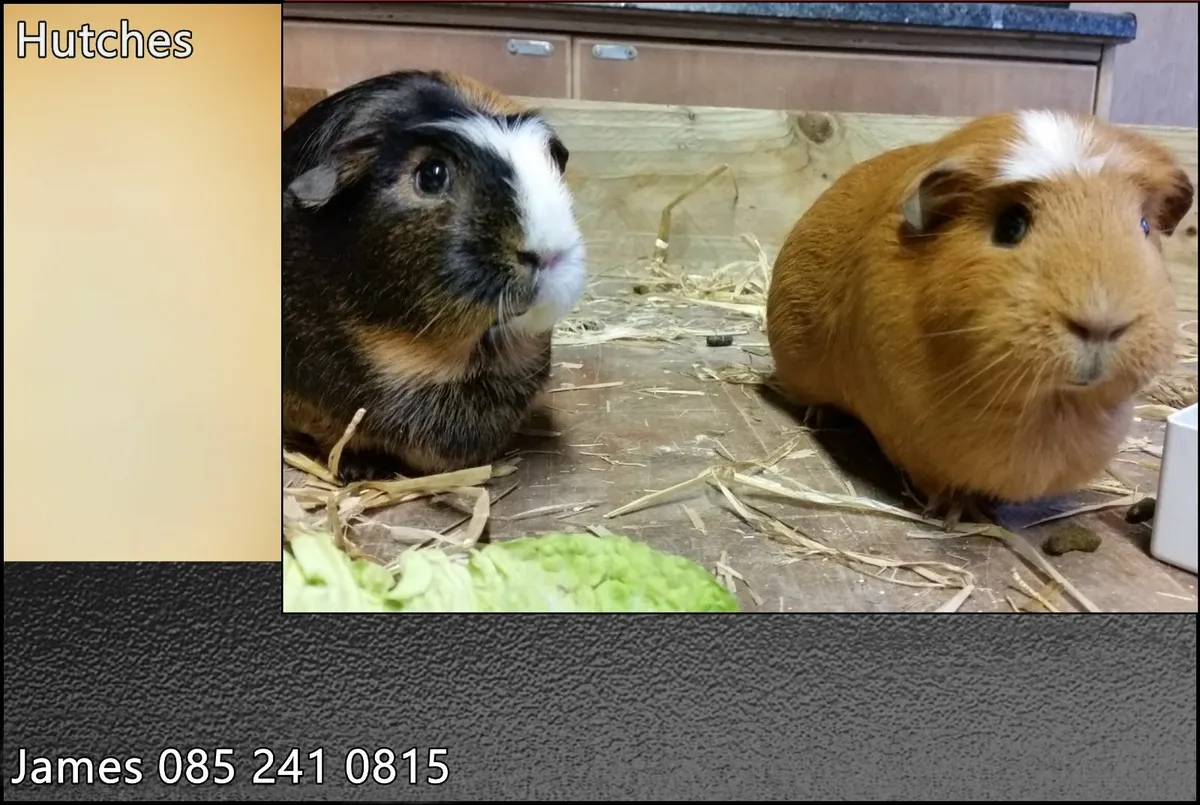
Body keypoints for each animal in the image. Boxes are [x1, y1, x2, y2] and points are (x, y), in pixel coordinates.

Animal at [766, 109, 1194, 528]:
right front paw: (958, 514)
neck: (1051, 408)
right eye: (1010, 225)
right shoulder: (917, 442)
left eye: (1143, 226)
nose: (1101, 324)